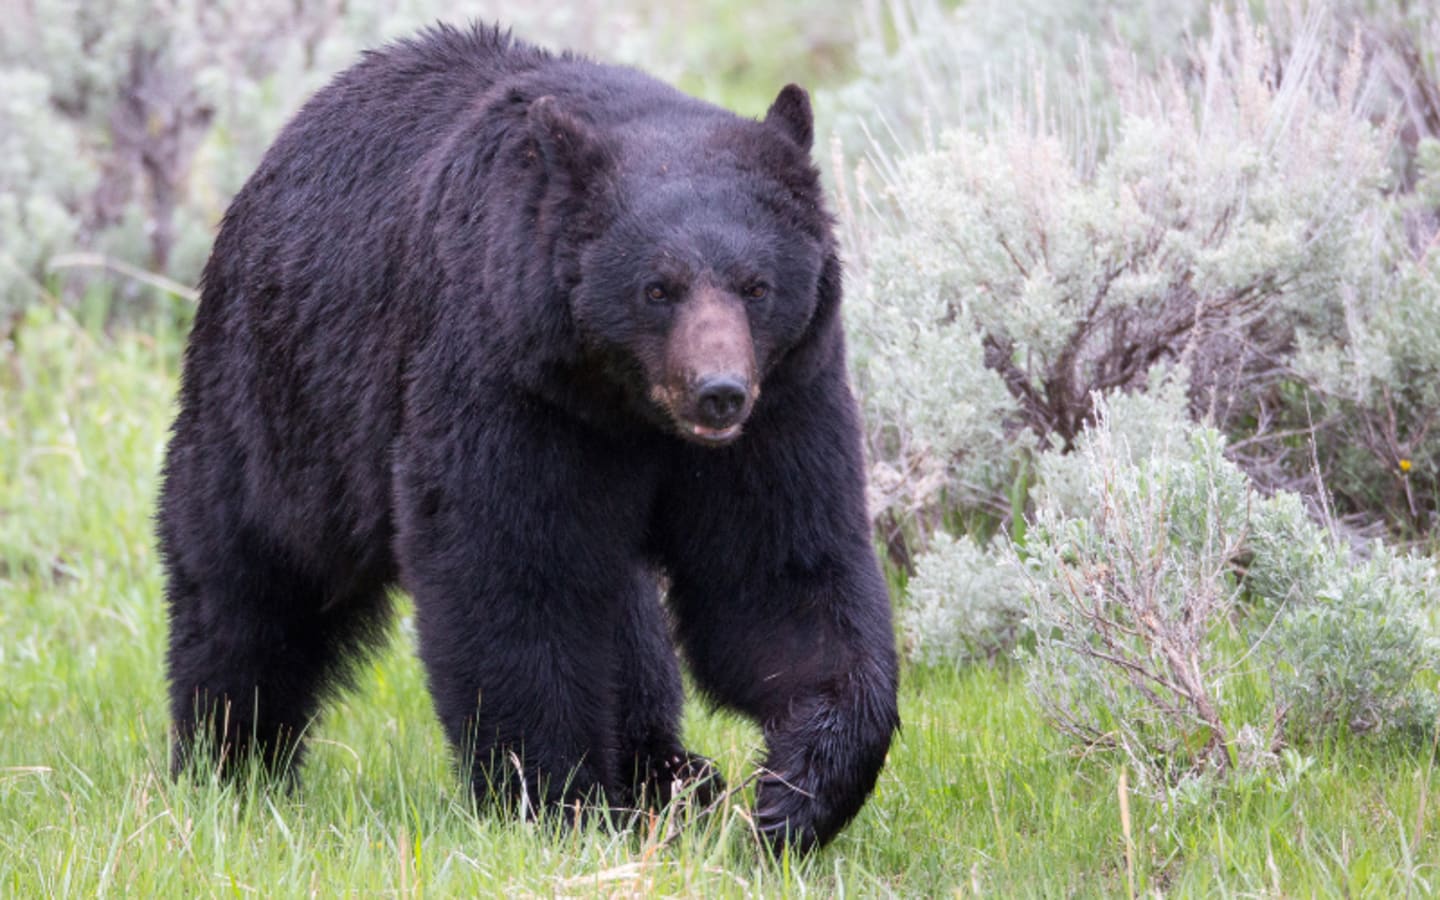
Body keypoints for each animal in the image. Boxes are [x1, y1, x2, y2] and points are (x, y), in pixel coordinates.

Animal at [158, 23, 899, 853]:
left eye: (756, 285)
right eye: (658, 287)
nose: (718, 392)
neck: (624, 407)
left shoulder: (786, 400)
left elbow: (778, 574)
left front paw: (796, 795)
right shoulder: (505, 378)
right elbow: (510, 571)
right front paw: (555, 799)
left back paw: (671, 773)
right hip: (284, 398)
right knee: (249, 576)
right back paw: (230, 760)